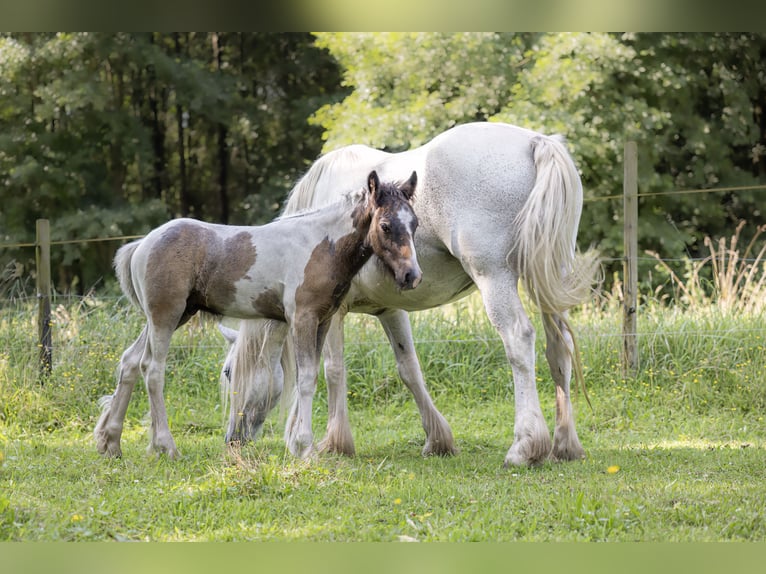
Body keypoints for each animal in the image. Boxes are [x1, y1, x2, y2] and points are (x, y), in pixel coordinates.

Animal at [94, 170, 426, 460]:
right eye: (385, 225)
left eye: (415, 224)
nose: (412, 276)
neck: (322, 246)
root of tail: (142, 244)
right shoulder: (303, 318)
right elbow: (307, 379)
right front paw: (306, 448)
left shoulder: (323, 319)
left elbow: (308, 376)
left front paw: (299, 446)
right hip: (166, 315)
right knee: (152, 369)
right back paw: (166, 446)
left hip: (171, 317)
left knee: (130, 361)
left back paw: (112, 444)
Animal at [222, 121, 600, 468]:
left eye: (227, 373)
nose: (232, 439)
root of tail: (536, 141)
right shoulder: (389, 309)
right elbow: (409, 370)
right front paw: (438, 439)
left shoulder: (330, 312)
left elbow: (330, 369)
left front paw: (333, 442)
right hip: (549, 280)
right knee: (559, 348)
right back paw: (565, 445)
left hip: (496, 279)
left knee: (519, 340)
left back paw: (524, 446)